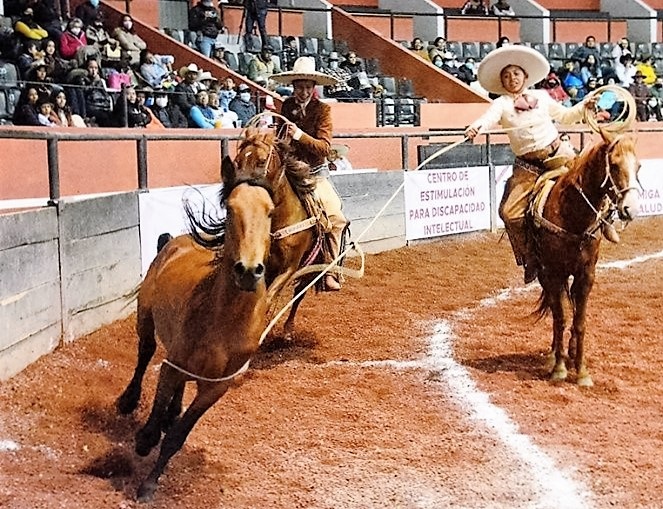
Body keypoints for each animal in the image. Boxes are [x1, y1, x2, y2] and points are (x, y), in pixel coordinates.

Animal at [116, 170, 274, 500]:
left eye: (270, 211)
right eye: (231, 210)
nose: (248, 270)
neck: (224, 322)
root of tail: (175, 241)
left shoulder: (216, 387)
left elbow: (178, 436)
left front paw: (149, 483)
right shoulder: (171, 366)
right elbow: (156, 412)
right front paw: (144, 440)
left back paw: (171, 413)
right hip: (146, 319)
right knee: (144, 354)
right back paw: (128, 401)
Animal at [532, 131, 640, 384]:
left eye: (639, 166)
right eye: (614, 164)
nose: (631, 209)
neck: (573, 216)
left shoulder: (587, 274)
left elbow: (579, 322)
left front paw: (581, 371)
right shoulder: (553, 273)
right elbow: (560, 318)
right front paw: (559, 368)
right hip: (545, 274)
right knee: (556, 309)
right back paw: (555, 355)